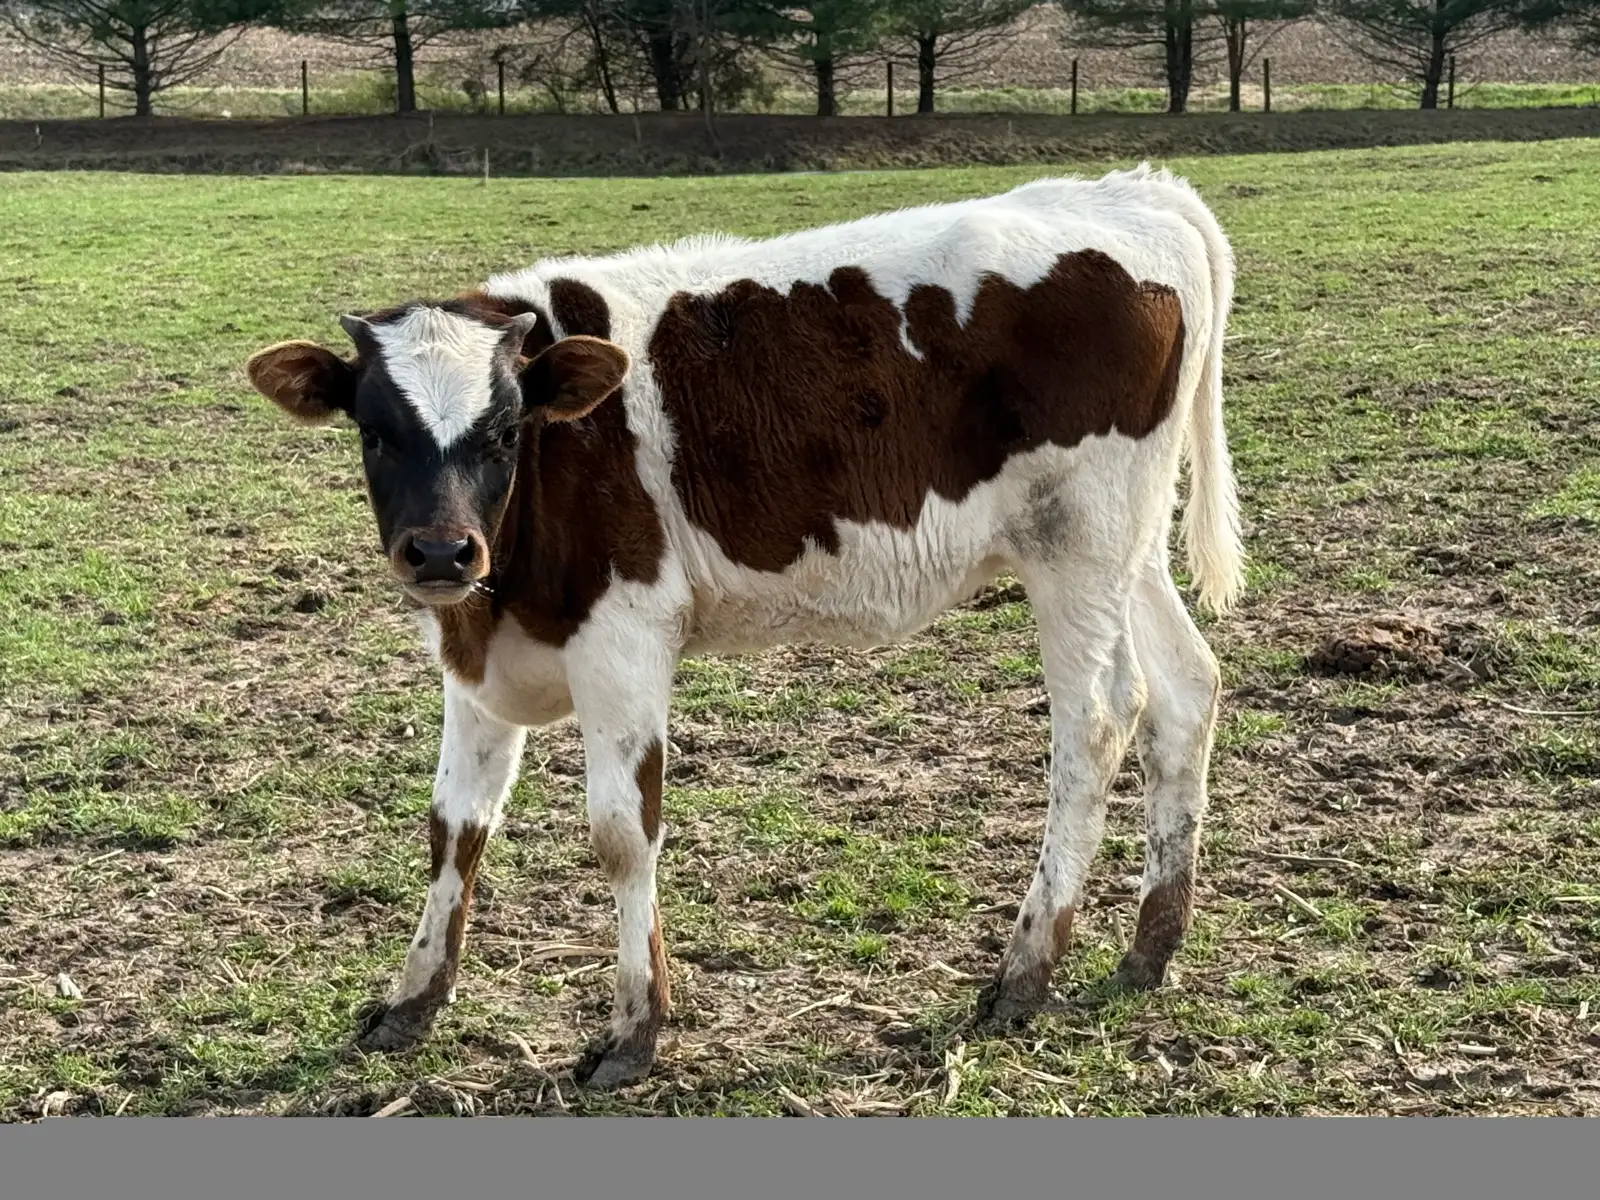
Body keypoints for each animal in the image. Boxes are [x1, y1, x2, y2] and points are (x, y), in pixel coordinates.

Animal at [243, 167, 1243, 1088]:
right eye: (375, 431)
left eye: (503, 432)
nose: (443, 552)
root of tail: (1133, 191)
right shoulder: (475, 659)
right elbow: (455, 826)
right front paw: (413, 999)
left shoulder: (624, 639)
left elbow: (622, 829)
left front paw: (635, 1028)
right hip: (1128, 553)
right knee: (1186, 692)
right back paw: (1152, 946)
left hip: (1076, 547)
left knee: (1099, 722)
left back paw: (1025, 972)